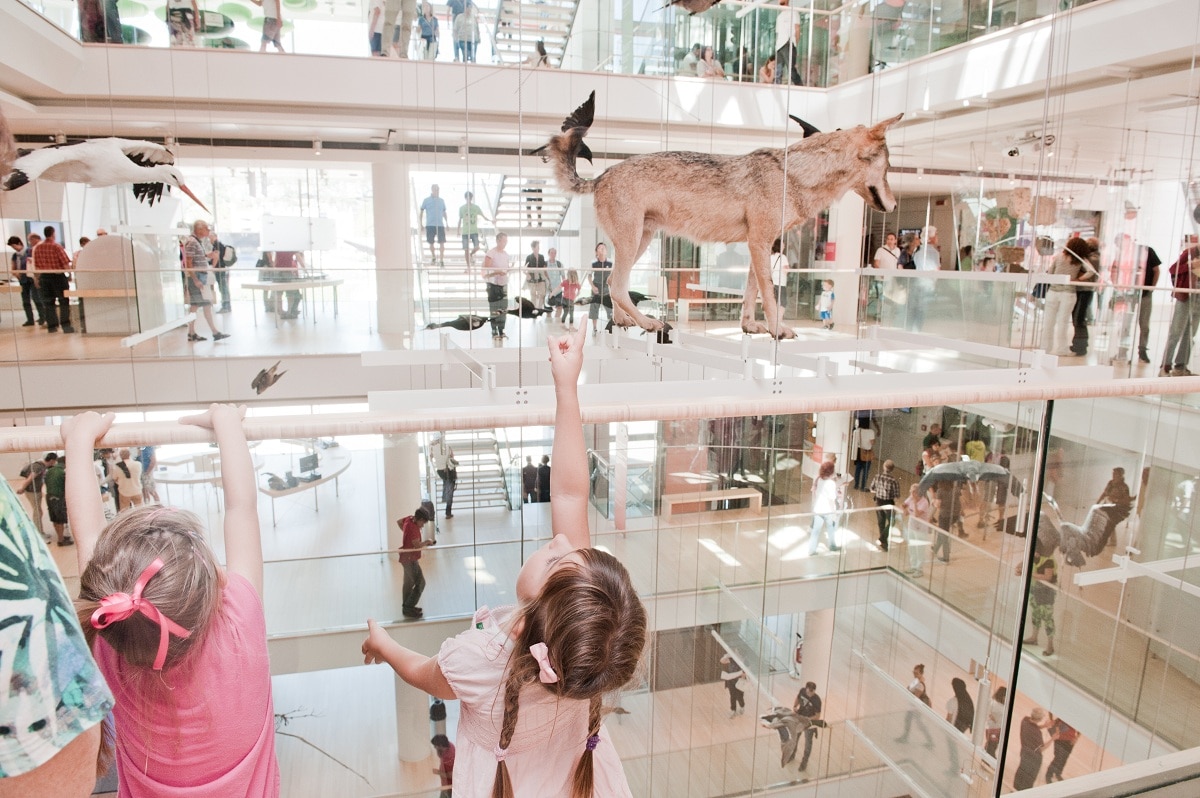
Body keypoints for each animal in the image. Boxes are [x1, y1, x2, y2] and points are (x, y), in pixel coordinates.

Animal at [535, 93, 902, 338]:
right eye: (889, 169)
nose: (896, 206)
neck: (794, 175)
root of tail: (600, 177)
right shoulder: (760, 243)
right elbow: (770, 295)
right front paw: (778, 329)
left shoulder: (760, 244)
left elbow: (752, 292)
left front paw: (750, 326)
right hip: (631, 243)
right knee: (617, 283)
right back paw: (647, 322)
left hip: (641, 241)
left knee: (613, 284)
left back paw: (627, 321)